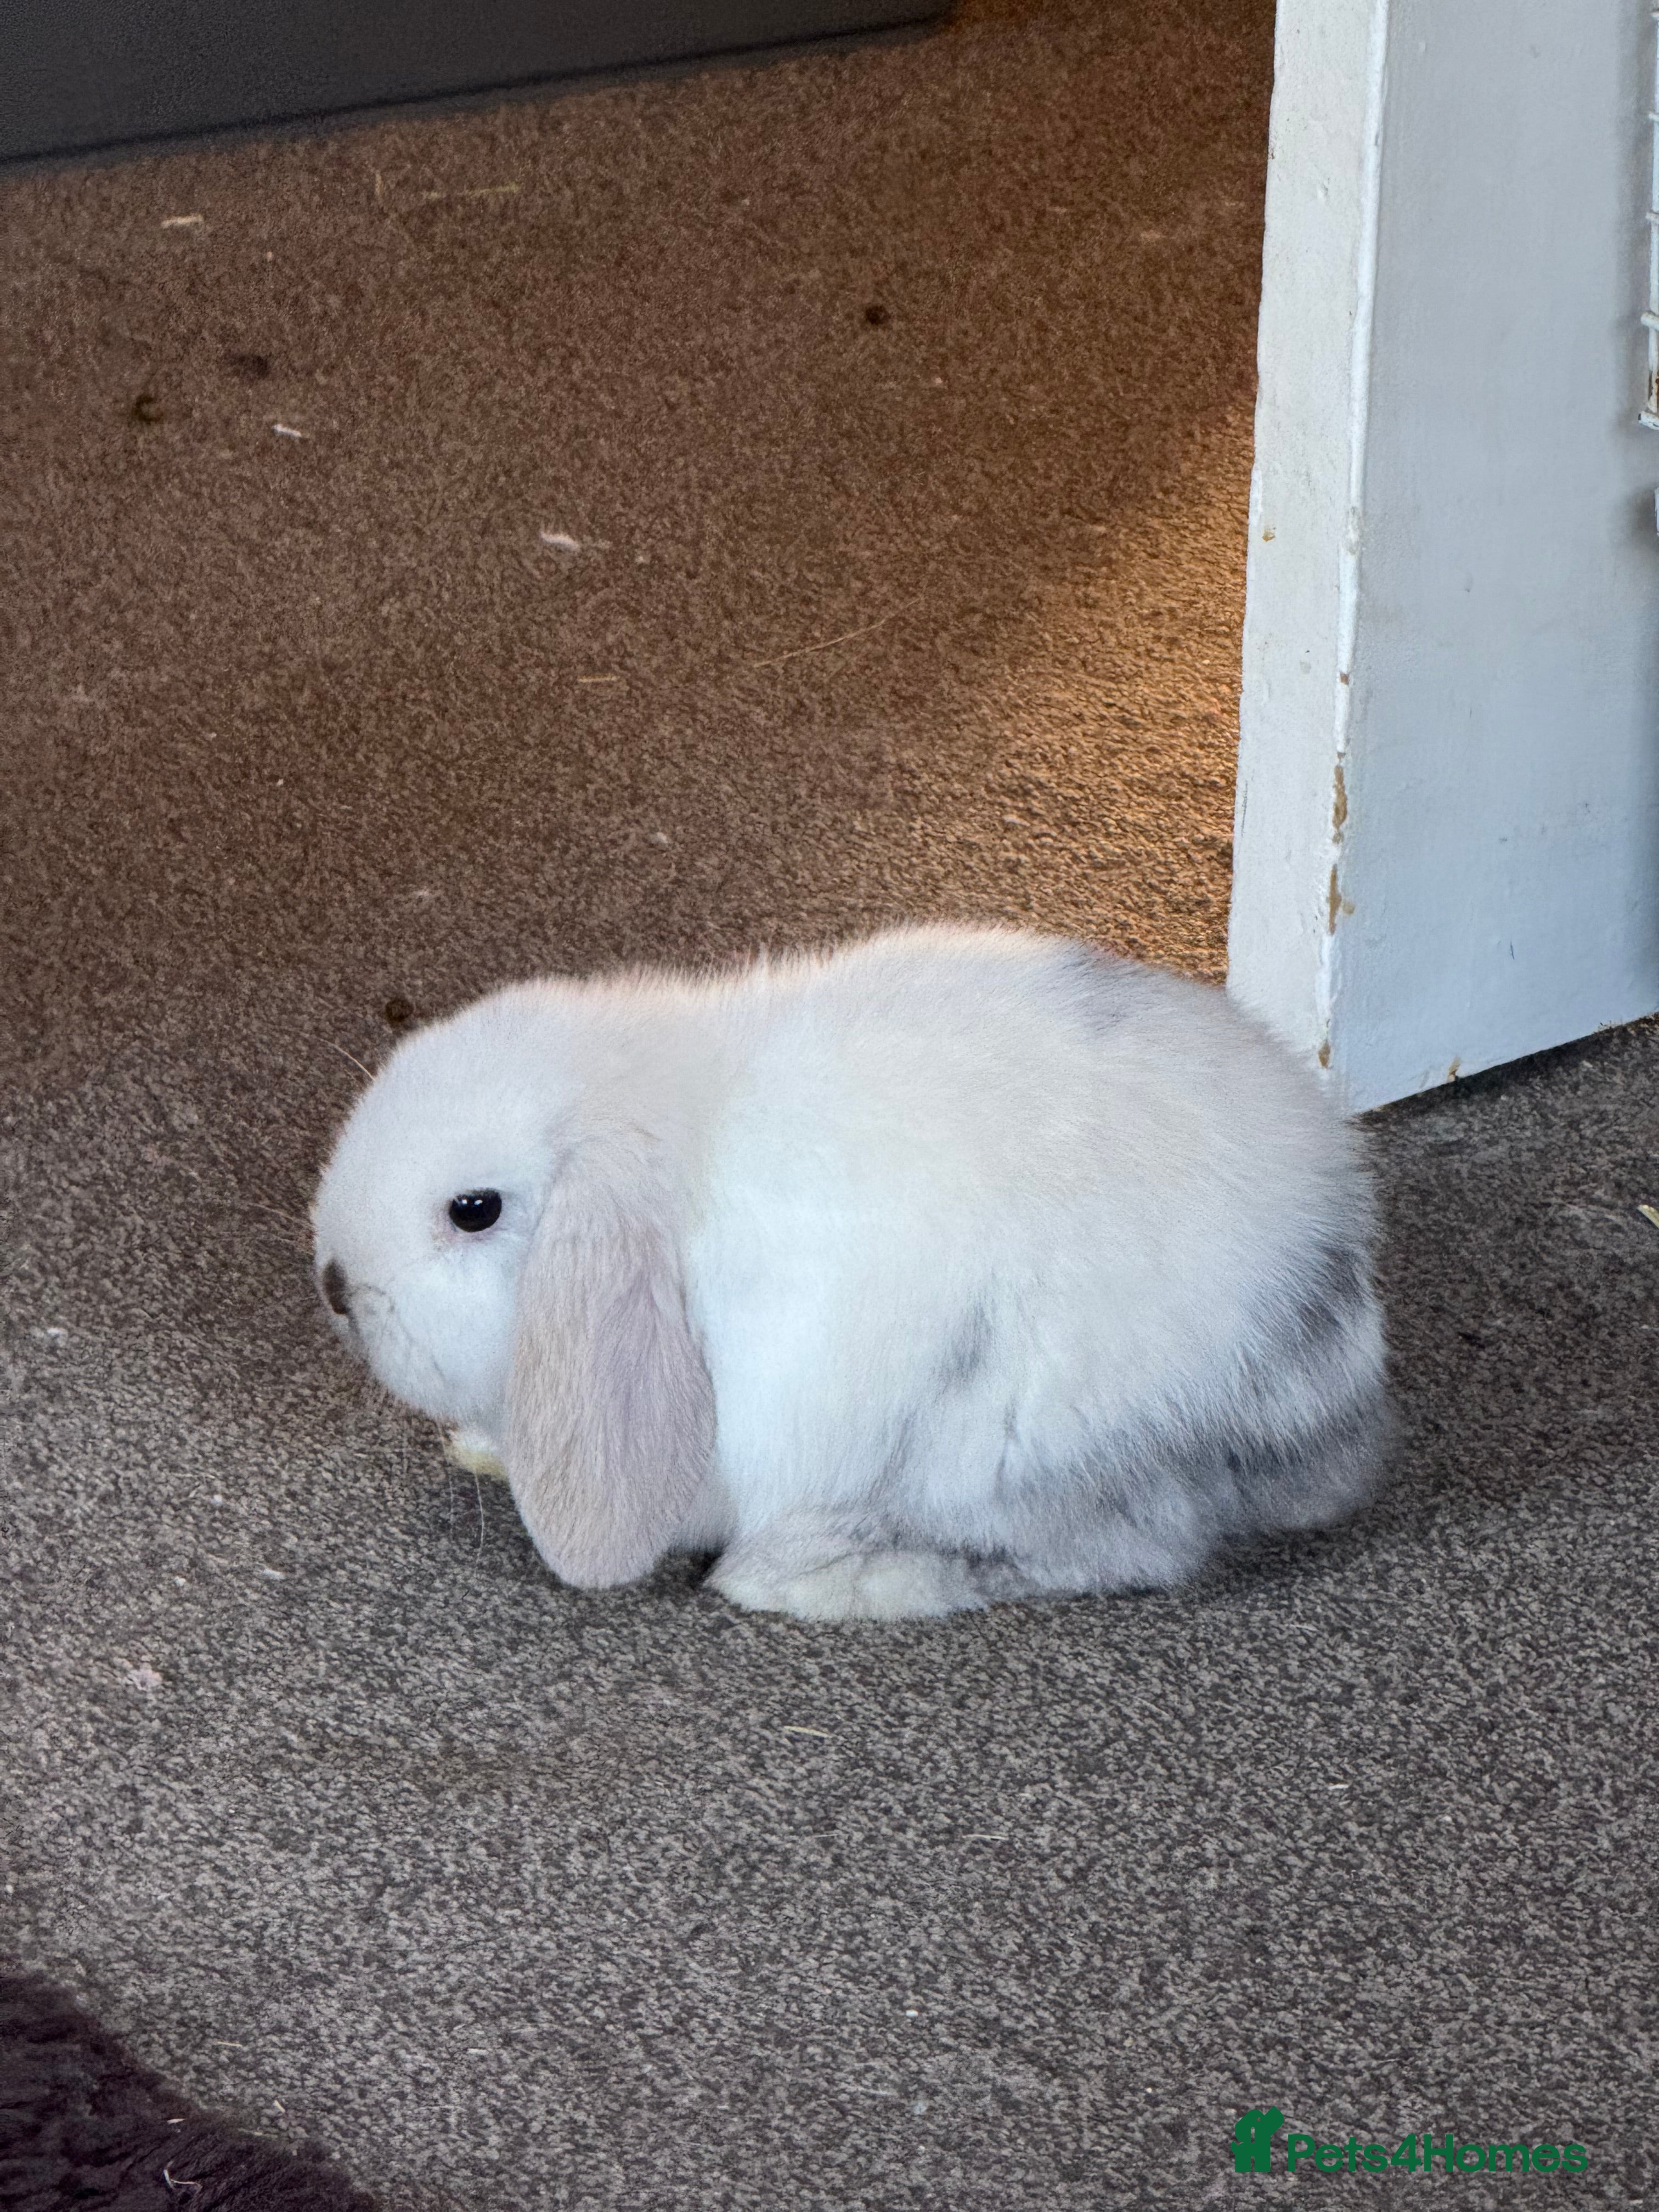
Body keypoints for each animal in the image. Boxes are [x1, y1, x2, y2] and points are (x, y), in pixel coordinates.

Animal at [310, 924, 1388, 1620]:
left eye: (474, 1210)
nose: (335, 1285)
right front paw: (482, 1450)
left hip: (1004, 1437)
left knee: (1123, 1551)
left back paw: (802, 1579)